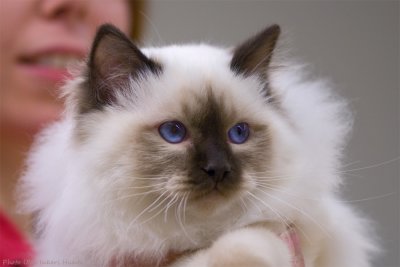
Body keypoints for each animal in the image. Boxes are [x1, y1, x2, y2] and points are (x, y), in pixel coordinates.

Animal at [18, 24, 376, 266]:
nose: (218, 169)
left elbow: (246, 243)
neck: (195, 236)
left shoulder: (296, 232)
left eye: (239, 133)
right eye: (174, 132)